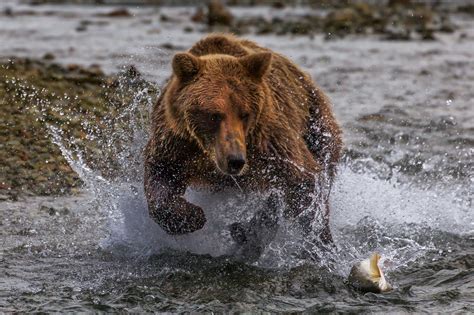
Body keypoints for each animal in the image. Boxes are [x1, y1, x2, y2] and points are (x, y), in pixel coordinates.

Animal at [143, 34, 340, 244]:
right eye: (214, 115)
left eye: (244, 114)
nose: (235, 160)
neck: (208, 153)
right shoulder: (176, 141)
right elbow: (160, 173)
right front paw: (191, 216)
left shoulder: (268, 141)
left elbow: (302, 179)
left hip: (316, 124)